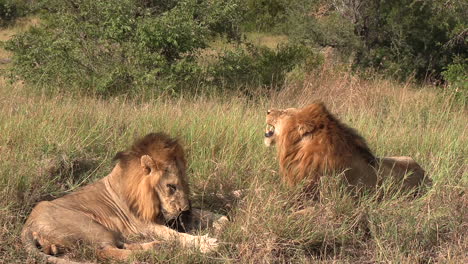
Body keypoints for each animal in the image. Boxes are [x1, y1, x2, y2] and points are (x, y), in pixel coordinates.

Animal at [22, 133, 224, 262]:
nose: (185, 210)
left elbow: (208, 214)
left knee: (120, 245)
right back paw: (152, 250)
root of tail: (28, 224)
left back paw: (155, 246)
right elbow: (175, 235)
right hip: (93, 227)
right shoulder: (143, 223)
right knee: (105, 252)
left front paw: (221, 222)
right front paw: (206, 243)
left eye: (184, 182)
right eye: (171, 186)